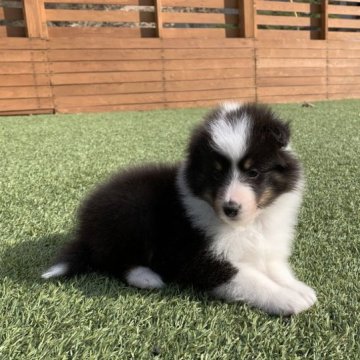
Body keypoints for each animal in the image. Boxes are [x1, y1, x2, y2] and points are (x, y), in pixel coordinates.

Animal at [43, 102, 318, 316]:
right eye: (216, 174)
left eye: (253, 172)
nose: (230, 208)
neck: (248, 224)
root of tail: (85, 230)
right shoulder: (200, 258)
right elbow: (251, 279)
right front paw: (288, 299)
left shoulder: (267, 245)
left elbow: (276, 269)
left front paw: (299, 288)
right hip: (133, 211)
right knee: (111, 259)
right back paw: (147, 277)